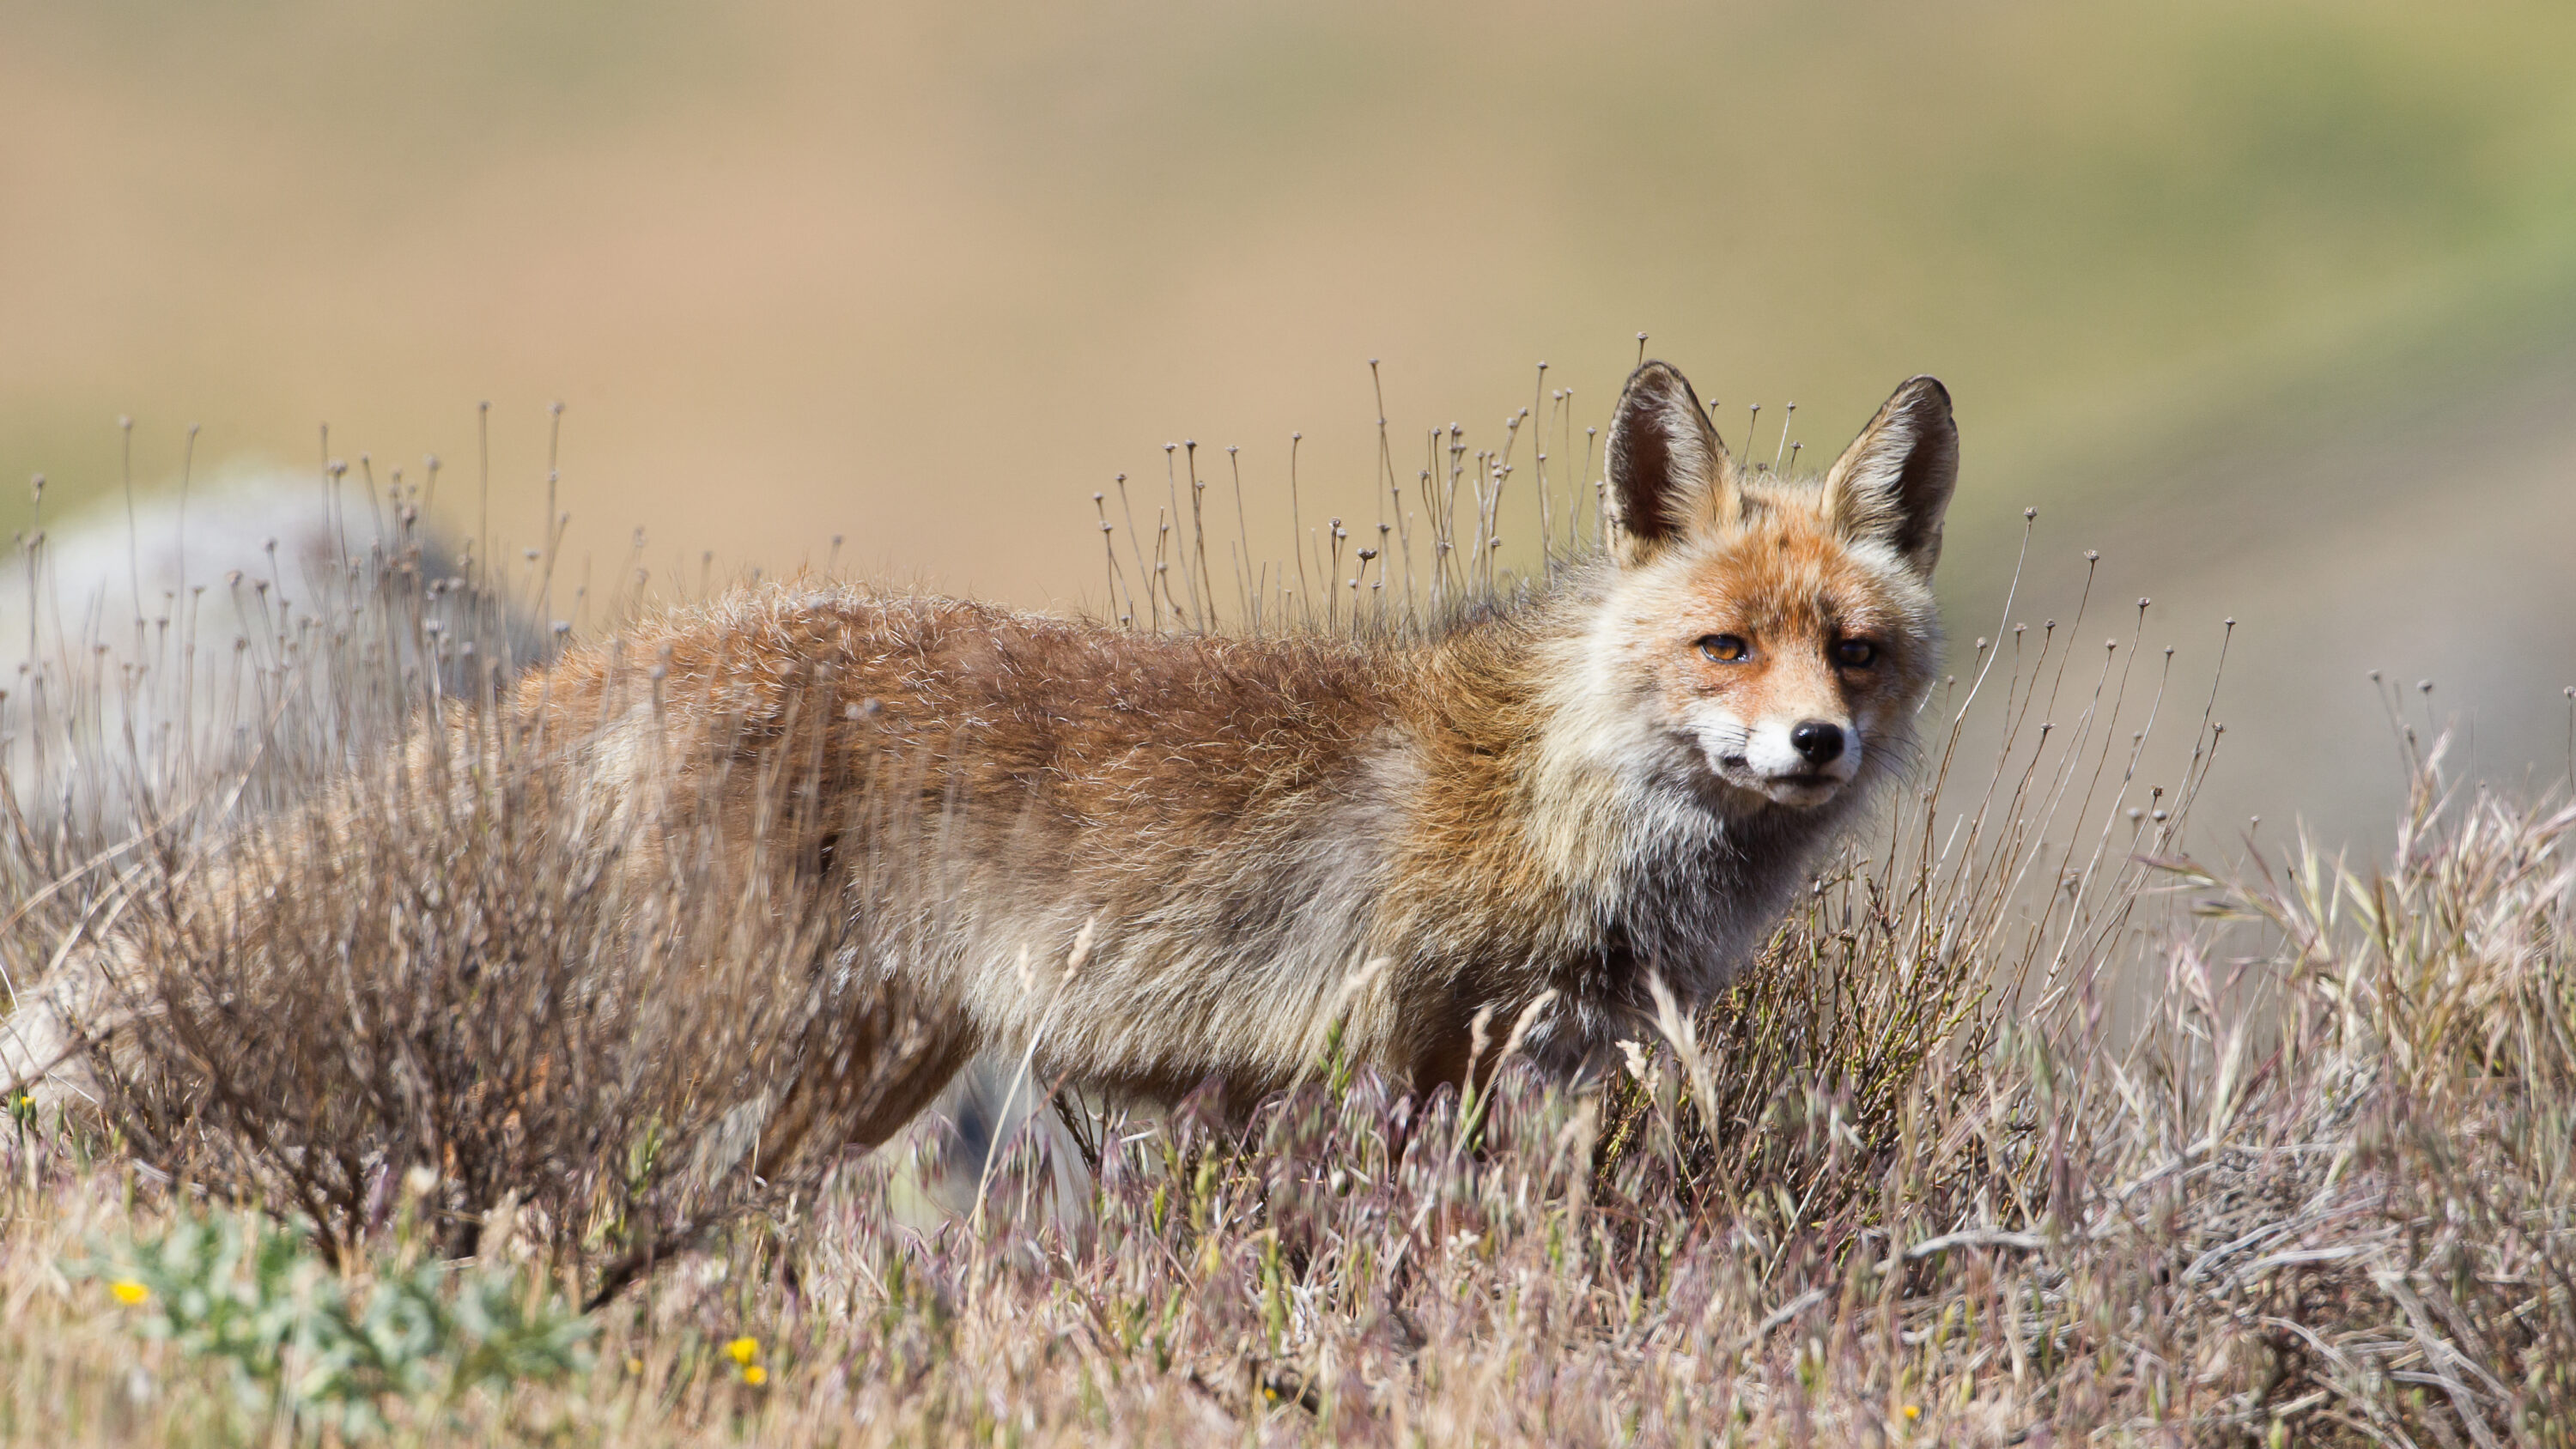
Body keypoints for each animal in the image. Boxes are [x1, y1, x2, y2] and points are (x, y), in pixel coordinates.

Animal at [4, 359, 1957, 1155]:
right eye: (1725, 646)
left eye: (1855, 650)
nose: (1814, 741)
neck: (1558, 797)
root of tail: (688, 630)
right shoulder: (1376, 1057)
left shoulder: (1512, 1079)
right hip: (711, 1041)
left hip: (852, 1076)